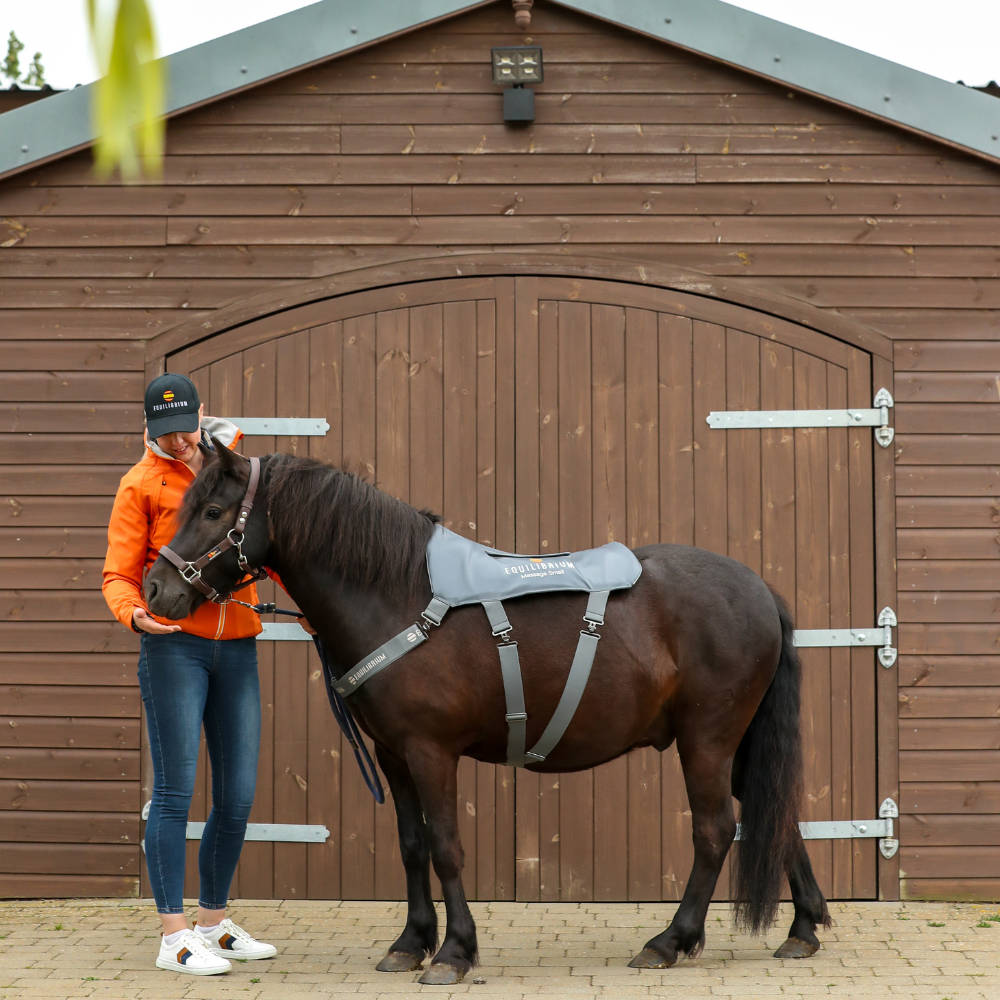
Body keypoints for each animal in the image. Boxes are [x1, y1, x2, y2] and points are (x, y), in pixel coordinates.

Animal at [143, 440, 831, 985]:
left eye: (212, 511)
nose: (155, 589)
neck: (400, 593)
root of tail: (759, 589)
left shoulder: (431, 752)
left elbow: (446, 846)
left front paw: (454, 951)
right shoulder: (394, 754)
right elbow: (412, 845)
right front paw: (410, 943)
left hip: (707, 740)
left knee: (715, 831)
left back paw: (670, 940)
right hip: (736, 743)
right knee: (775, 813)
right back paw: (802, 929)